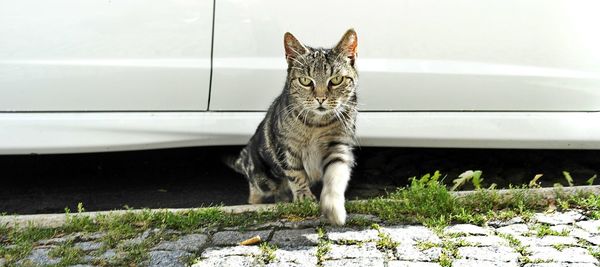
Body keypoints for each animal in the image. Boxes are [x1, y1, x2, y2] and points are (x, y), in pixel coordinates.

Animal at [225, 29, 356, 226]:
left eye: (336, 80)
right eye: (305, 81)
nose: (321, 99)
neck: (316, 124)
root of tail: (245, 155)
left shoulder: (338, 146)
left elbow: (335, 175)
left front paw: (333, 208)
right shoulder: (287, 148)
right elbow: (297, 174)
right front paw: (304, 196)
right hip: (262, 179)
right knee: (255, 192)